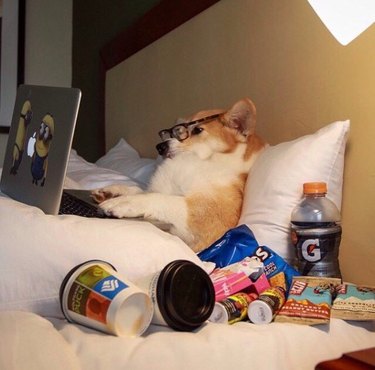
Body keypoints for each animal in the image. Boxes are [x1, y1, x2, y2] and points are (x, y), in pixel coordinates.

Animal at [92, 98, 266, 253]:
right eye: (174, 131)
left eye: (197, 130)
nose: (159, 147)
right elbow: (139, 189)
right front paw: (112, 192)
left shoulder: (205, 219)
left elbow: (160, 198)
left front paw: (123, 202)